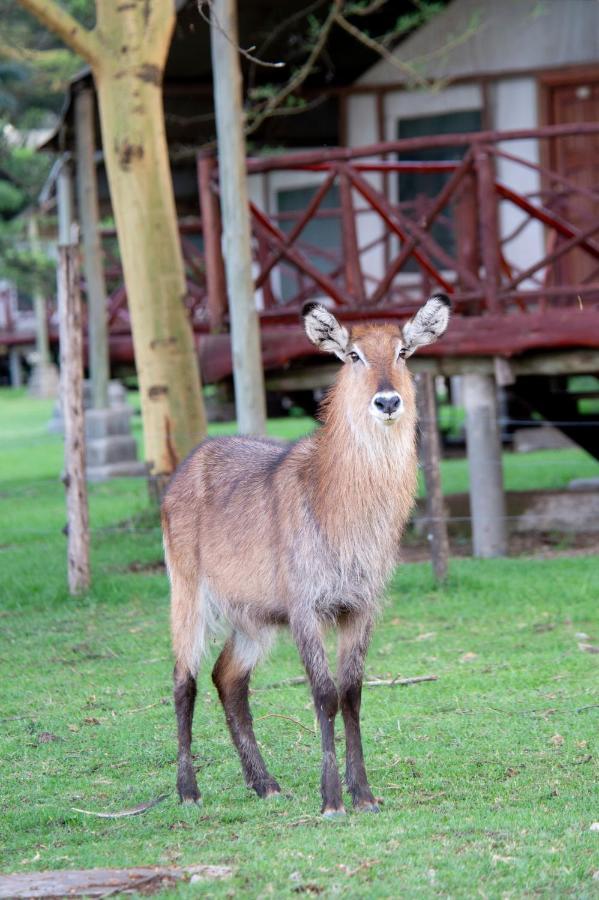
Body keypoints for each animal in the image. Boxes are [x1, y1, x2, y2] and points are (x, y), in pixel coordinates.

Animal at [162, 296, 452, 816]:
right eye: (354, 354)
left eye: (402, 351)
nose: (387, 401)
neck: (341, 508)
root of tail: (187, 465)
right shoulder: (305, 608)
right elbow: (323, 695)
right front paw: (332, 799)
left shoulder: (360, 607)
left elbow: (352, 694)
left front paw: (364, 794)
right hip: (188, 594)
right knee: (184, 680)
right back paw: (188, 791)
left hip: (253, 616)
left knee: (227, 678)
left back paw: (265, 784)